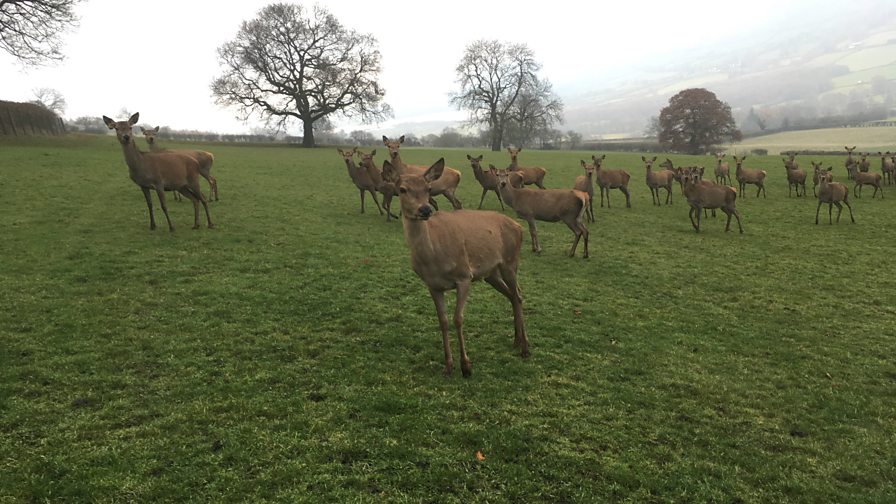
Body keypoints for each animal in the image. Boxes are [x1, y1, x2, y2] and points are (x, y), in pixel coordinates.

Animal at [381, 158, 529, 378]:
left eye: (428, 188)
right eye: (402, 189)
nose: (425, 210)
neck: (434, 257)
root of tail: (519, 227)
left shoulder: (464, 275)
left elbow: (458, 318)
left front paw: (466, 366)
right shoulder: (432, 285)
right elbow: (442, 321)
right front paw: (448, 366)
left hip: (510, 262)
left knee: (518, 294)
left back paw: (525, 348)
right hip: (491, 273)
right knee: (511, 295)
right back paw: (516, 341)